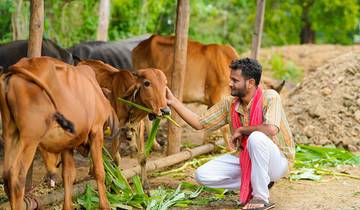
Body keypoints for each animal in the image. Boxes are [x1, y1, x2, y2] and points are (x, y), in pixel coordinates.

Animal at [0, 56, 112, 209]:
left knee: (6, 176)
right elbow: (99, 171)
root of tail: (16, 69)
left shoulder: (67, 144)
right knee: (17, 177)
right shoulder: (97, 131)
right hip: (31, 137)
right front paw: (105, 205)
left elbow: (68, 175)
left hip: (10, 133)